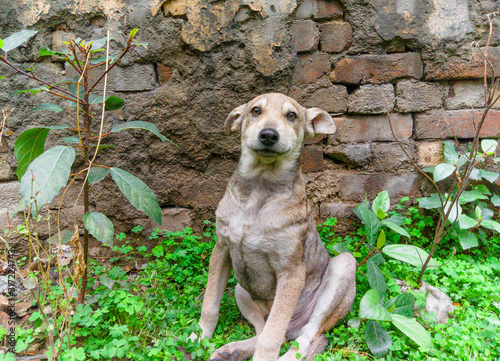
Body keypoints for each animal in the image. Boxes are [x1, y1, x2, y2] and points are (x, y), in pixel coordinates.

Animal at [193, 93, 358, 360]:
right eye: (255, 111)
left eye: (291, 115)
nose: (269, 135)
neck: (260, 187)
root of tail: (293, 327)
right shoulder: (222, 250)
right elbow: (210, 304)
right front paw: (196, 338)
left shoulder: (291, 271)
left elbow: (271, 339)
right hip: (241, 289)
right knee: (264, 329)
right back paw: (232, 351)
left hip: (343, 267)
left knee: (304, 340)